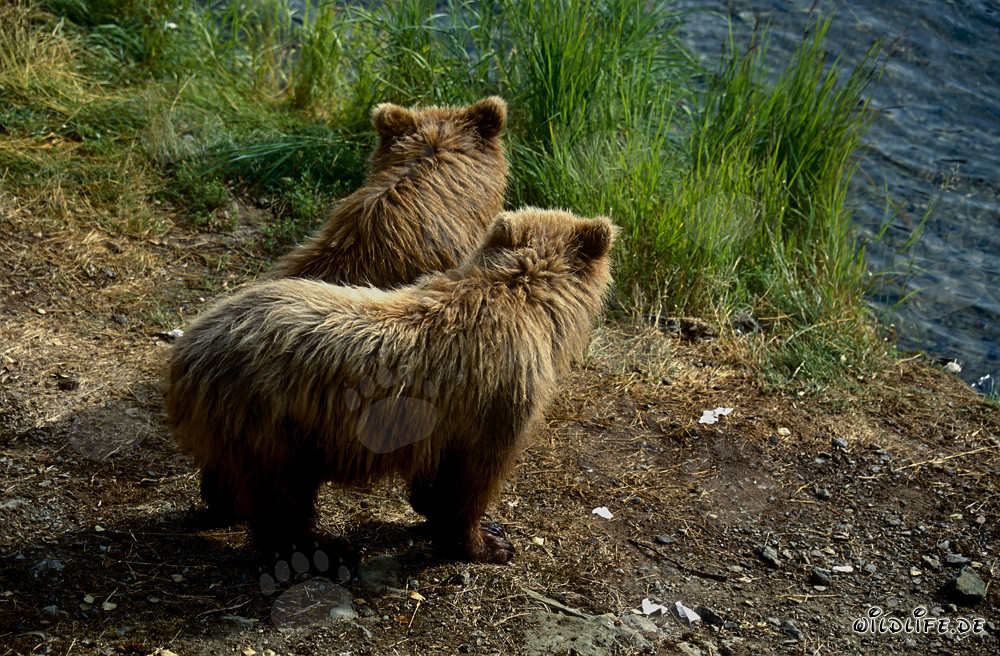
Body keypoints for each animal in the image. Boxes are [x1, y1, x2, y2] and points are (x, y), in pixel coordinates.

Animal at [163, 207, 617, 563]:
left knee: (237, 472)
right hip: (273, 417)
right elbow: (473, 478)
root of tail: (188, 346)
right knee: (284, 493)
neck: (527, 301)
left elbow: (437, 473)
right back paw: (325, 546)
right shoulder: (498, 398)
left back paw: (224, 502)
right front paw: (486, 542)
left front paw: (440, 512)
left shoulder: (445, 418)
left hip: (238, 418)